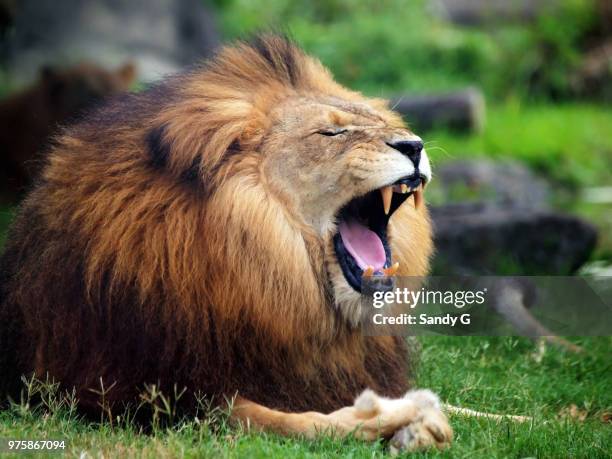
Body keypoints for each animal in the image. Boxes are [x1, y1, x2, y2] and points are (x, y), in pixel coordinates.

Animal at [0, 36, 450, 452]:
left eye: (379, 121)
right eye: (331, 132)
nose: (414, 145)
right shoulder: (157, 396)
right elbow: (294, 422)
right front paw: (404, 414)